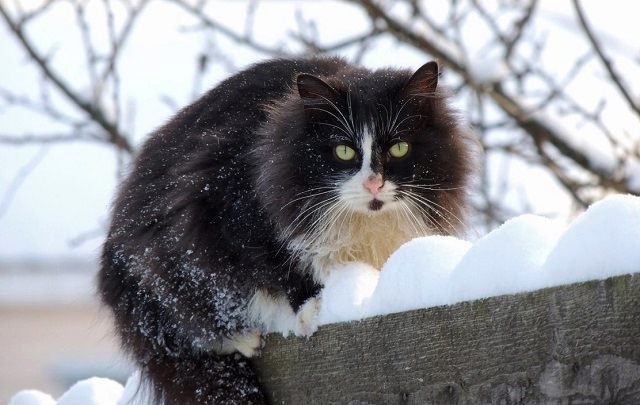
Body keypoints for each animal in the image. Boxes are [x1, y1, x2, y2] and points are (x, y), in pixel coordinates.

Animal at [99, 57, 476, 404]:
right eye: (343, 151)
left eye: (399, 147)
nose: (373, 183)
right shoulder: (219, 202)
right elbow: (276, 262)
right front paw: (310, 310)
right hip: (158, 260)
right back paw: (243, 337)